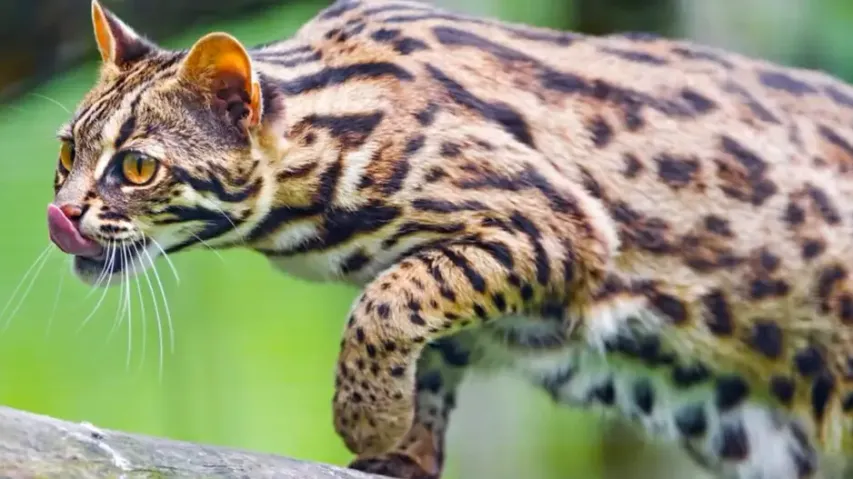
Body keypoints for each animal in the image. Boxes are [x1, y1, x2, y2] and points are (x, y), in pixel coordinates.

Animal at [46, 0, 853, 478]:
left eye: (137, 166)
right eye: (67, 151)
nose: (62, 213)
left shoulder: (559, 224)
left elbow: (387, 298)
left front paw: (368, 420)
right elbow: (424, 326)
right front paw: (404, 443)